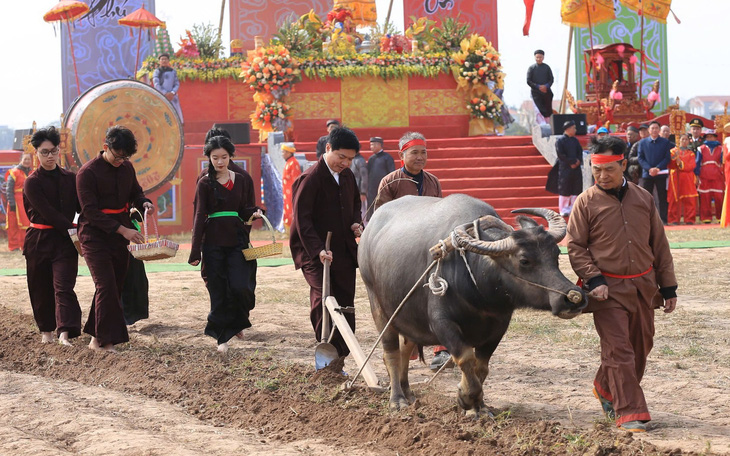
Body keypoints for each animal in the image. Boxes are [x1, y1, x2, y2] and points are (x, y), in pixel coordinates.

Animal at [358, 194, 584, 416]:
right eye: (524, 260)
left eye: (556, 254)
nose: (573, 297)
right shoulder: (442, 324)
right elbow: (466, 358)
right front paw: (465, 398)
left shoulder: (499, 326)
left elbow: (481, 367)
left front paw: (480, 407)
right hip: (379, 307)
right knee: (391, 354)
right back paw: (397, 400)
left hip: (409, 317)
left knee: (405, 350)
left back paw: (408, 393)